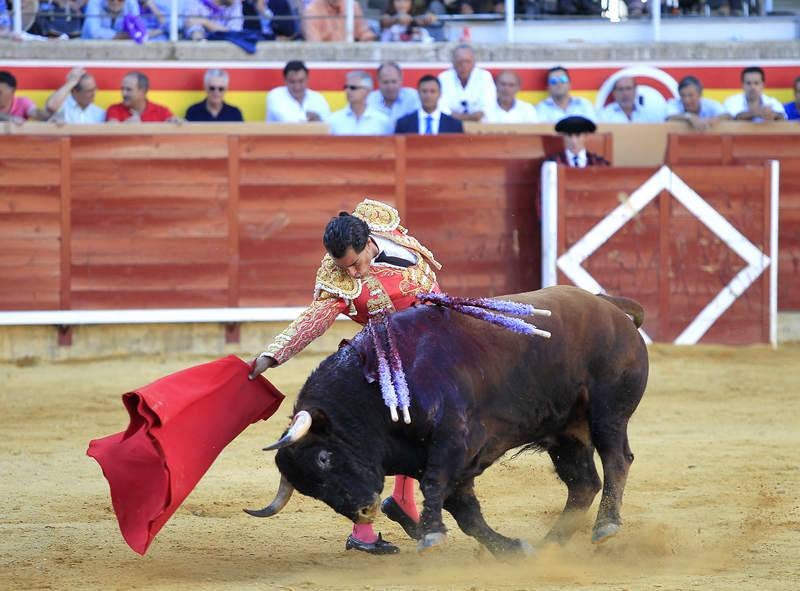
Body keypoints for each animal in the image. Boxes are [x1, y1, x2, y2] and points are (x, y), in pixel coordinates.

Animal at [248, 284, 648, 556]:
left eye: (323, 457)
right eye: (309, 490)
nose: (364, 511)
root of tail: (606, 304)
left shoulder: (454, 440)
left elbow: (435, 485)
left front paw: (430, 533)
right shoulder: (444, 462)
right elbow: (467, 513)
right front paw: (512, 550)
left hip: (607, 412)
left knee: (617, 460)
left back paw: (605, 526)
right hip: (565, 432)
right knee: (583, 483)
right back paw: (551, 543)